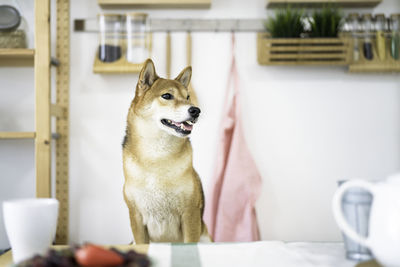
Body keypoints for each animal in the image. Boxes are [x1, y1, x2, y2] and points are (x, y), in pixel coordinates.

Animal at [122, 59, 211, 245]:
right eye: (167, 96)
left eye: (187, 97)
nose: (196, 110)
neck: (158, 157)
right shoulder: (136, 217)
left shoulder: (190, 214)